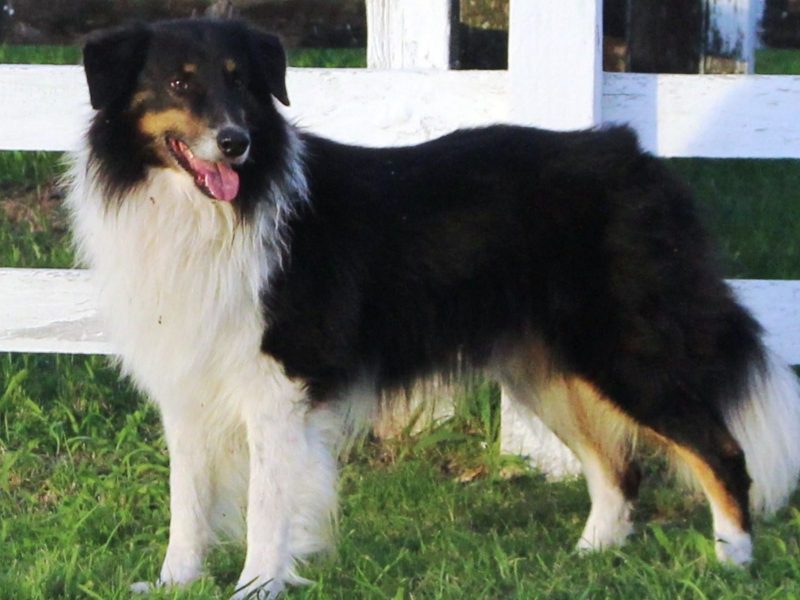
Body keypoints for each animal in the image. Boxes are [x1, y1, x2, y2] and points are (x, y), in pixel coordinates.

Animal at [65, 16, 800, 596]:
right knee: (619, 467)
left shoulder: (278, 383)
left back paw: (732, 562)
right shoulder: (187, 381)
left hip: (625, 350)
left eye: (243, 84)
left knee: (720, 449)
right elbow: (186, 502)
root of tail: (635, 153)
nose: (234, 142)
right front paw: (172, 583)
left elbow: (267, 505)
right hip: (546, 368)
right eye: (179, 84)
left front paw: (257, 586)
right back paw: (586, 559)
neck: (211, 211)